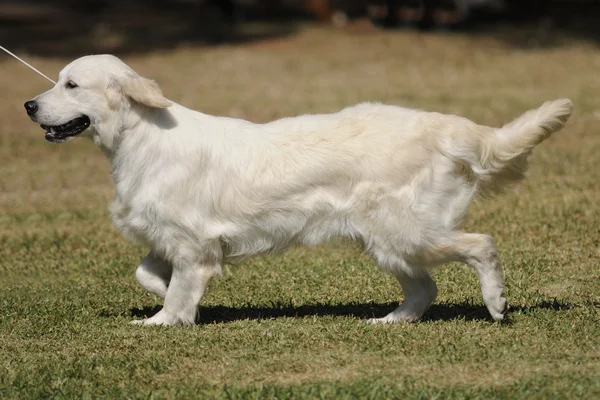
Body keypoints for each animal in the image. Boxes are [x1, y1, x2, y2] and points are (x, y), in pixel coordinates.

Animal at [24, 55, 572, 324]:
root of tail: (443, 124)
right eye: (57, 81)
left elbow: (178, 289)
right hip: (386, 240)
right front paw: (175, 302)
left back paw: (497, 302)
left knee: (482, 245)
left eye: (71, 85)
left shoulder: (191, 241)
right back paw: (390, 321)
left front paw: (165, 321)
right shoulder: (172, 239)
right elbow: (149, 274)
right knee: (425, 288)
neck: (139, 137)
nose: (29, 105)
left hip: (407, 232)